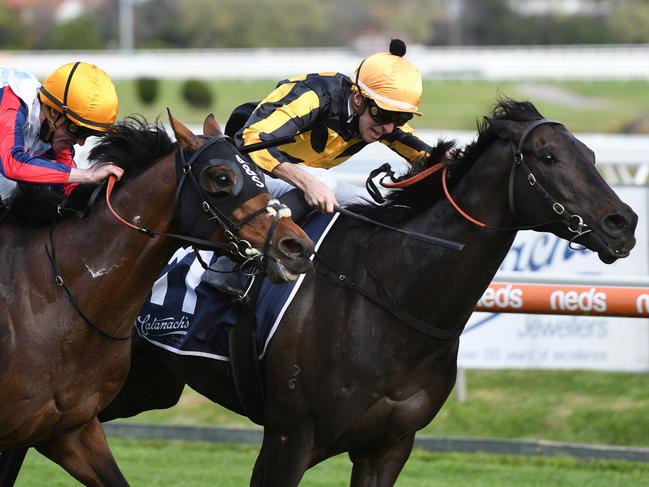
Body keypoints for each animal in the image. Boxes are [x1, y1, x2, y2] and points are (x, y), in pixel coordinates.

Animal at [98, 101, 636, 486]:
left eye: (590, 156)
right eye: (548, 158)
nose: (624, 223)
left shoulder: (389, 448)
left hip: (146, 384)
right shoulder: (287, 440)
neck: (392, 300)